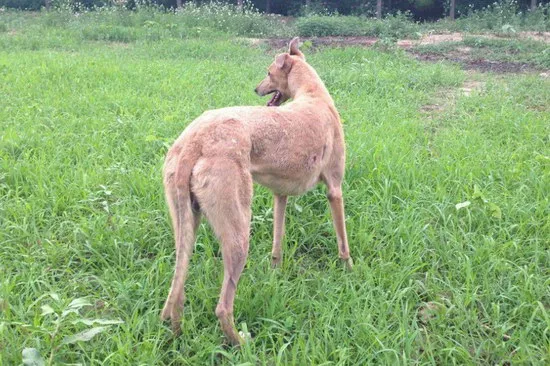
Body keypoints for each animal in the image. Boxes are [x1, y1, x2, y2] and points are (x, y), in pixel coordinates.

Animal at [161, 37, 354, 346]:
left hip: (186, 225)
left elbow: (277, 241)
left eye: (268, 73)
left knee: (176, 294)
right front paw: (349, 270)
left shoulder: (280, 195)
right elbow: (343, 242)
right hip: (239, 230)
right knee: (223, 306)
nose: (255, 89)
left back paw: (178, 337)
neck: (313, 94)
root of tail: (195, 139)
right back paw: (240, 343)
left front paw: (275, 272)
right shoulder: (335, 190)